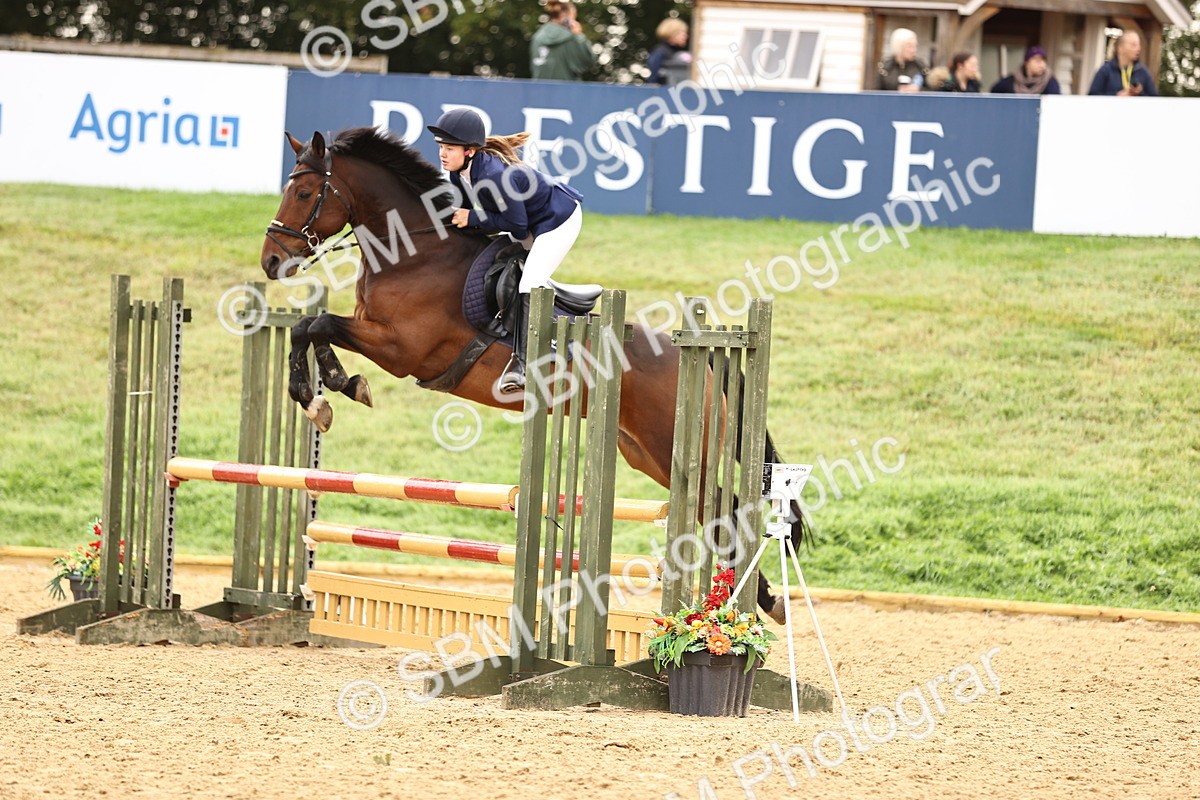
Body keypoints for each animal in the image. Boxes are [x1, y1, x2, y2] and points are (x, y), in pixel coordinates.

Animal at [259, 127, 806, 622]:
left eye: (304, 192)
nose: (271, 261)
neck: (415, 252)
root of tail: (704, 355)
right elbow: (309, 328)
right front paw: (324, 393)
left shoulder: (401, 348)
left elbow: (317, 324)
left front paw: (330, 390)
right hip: (648, 454)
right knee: (711, 516)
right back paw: (755, 602)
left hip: (680, 444)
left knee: (726, 513)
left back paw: (744, 608)